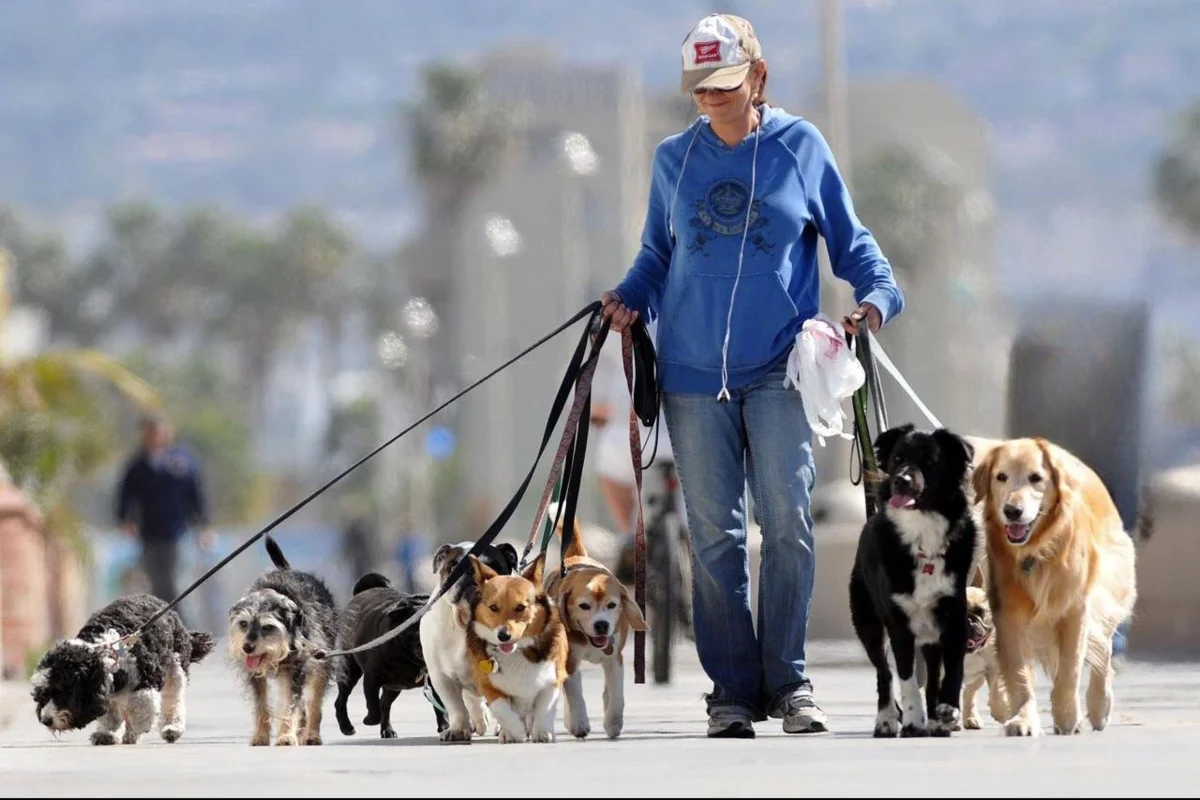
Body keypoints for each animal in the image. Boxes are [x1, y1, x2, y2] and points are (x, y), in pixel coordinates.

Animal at [31, 592, 214, 748]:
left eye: (62, 692)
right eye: (42, 694)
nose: (46, 720)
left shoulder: (147, 677)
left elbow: (140, 705)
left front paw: (138, 726)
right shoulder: (107, 691)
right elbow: (110, 716)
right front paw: (107, 734)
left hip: (175, 668)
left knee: (173, 700)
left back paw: (171, 728)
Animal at [226, 534, 340, 748]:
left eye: (268, 627)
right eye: (243, 623)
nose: (247, 647)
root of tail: (287, 569)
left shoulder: (295, 671)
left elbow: (290, 705)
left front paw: (286, 736)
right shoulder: (256, 675)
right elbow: (261, 706)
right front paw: (261, 736)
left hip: (320, 663)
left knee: (314, 703)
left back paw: (311, 734)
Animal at [333, 575, 446, 738]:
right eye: (415, 629)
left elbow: (440, 704)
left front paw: (445, 725)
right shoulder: (371, 680)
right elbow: (372, 705)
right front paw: (370, 719)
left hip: (393, 688)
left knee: (385, 705)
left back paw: (387, 730)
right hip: (349, 671)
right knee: (342, 700)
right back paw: (346, 726)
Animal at [544, 520, 648, 738]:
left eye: (612, 605)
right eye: (584, 606)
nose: (601, 625)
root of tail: (576, 557)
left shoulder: (615, 659)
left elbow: (616, 695)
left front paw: (613, 723)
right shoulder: (570, 661)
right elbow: (575, 694)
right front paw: (579, 724)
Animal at [849, 424, 979, 738]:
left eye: (930, 462)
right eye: (897, 459)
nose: (901, 481)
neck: (922, 530)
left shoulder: (954, 615)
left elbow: (951, 671)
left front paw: (947, 711)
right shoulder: (898, 622)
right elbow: (906, 678)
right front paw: (912, 720)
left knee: (931, 674)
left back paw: (937, 719)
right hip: (867, 621)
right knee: (883, 672)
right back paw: (886, 720)